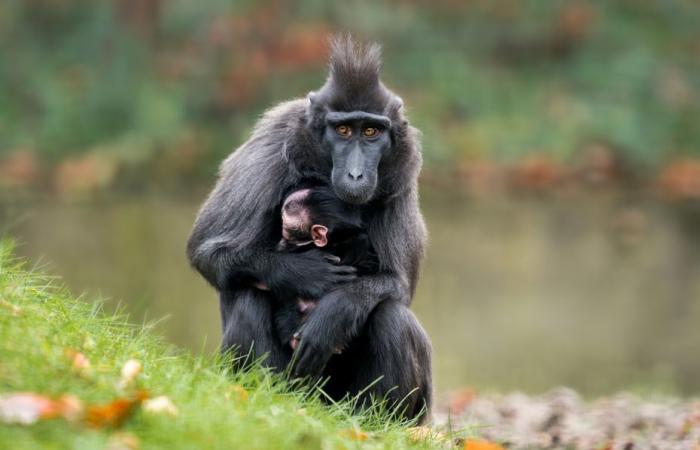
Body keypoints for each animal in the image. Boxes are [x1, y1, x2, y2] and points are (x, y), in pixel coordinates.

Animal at [186, 37, 430, 422]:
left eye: (371, 131)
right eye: (343, 130)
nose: (356, 174)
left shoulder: (402, 179)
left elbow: (398, 285)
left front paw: (335, 311)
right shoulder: (272, 145)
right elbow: (207, 248)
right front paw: (303, 272)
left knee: (391, 315)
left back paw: (370, 421)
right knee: (249, 292)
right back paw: (266, 396)